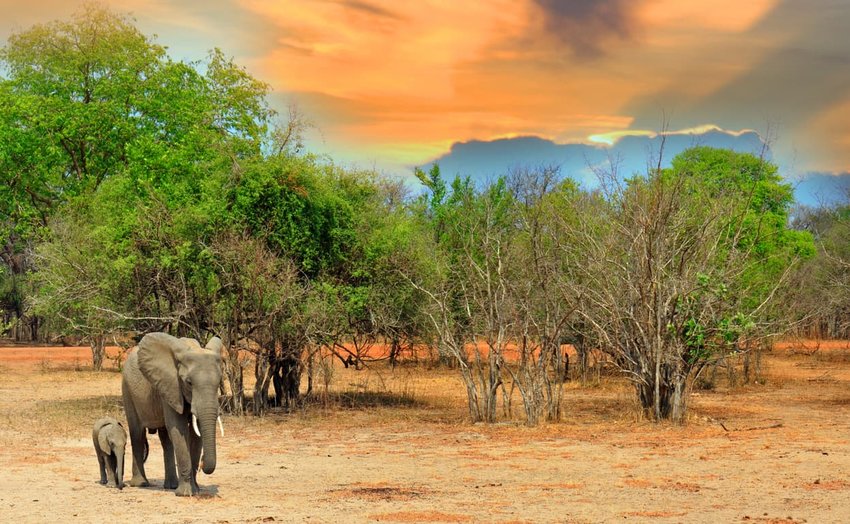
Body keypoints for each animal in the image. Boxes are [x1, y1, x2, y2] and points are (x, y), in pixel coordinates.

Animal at [122, 332, 224, 496]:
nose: (203, 463)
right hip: (127, 389)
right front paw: (186, 494)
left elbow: (196, 434)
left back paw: (171, 485)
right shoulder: (171, 385)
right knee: (137, 434)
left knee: (166, 439)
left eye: (220, 382)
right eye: (189, 383)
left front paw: (196, 490)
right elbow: (178, 428)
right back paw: (141, 484)